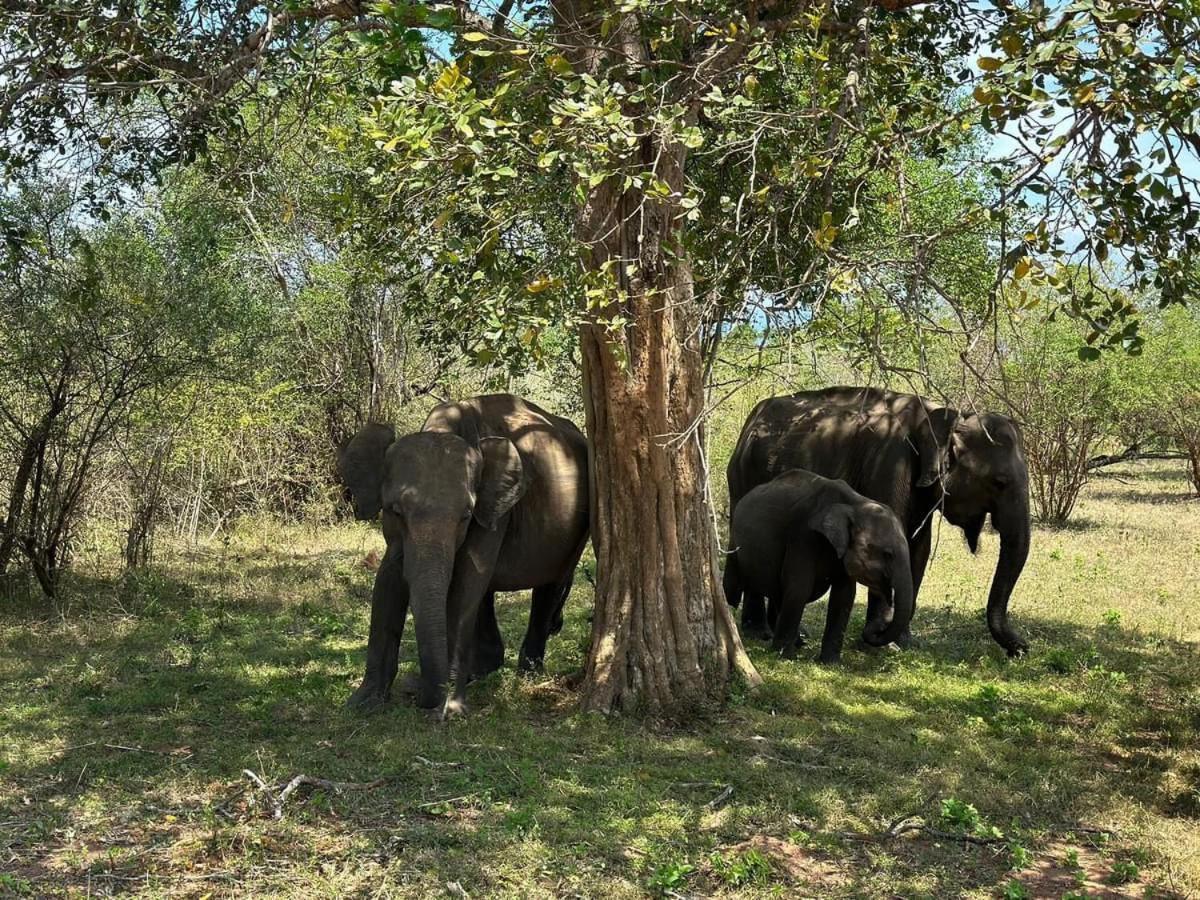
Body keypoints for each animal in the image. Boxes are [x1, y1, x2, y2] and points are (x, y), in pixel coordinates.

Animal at [336, 393, 588, 720]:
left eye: (465, 515)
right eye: (396, 511)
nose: (419, 694)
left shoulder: (496, 512)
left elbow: (467, 581)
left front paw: (449, 710)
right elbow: (388, 581)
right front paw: (362, 702)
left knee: (549, 586)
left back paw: (527, 674)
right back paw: (480, 672)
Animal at [715, 468, 912, 667]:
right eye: (887, 554)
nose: (877, 629)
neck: (856, 504)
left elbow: (844, 596)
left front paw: (831, 663)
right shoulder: (802, 536)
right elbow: (799, 588)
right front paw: (785, 657)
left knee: (777, 592)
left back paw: (796, 640)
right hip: (735, 539)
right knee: (734, 581)